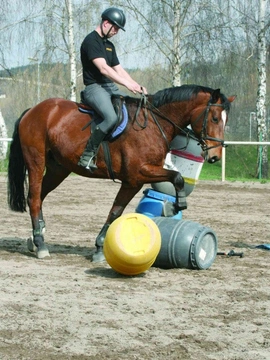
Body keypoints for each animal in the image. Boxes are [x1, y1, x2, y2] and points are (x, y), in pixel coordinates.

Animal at [5, 86, 234, 262]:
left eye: (225, 120)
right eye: (215, 118)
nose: (215, 156)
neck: (154, 123)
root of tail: (33, 110)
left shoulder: (136, 180)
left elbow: (117, 211)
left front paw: (99, 248)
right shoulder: (137, 175)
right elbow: (175, 177)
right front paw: (177, 205)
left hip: (58, 169)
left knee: (39, 197)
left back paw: (35, 238)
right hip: (36, 162)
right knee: (34, 198)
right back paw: (41, 245)